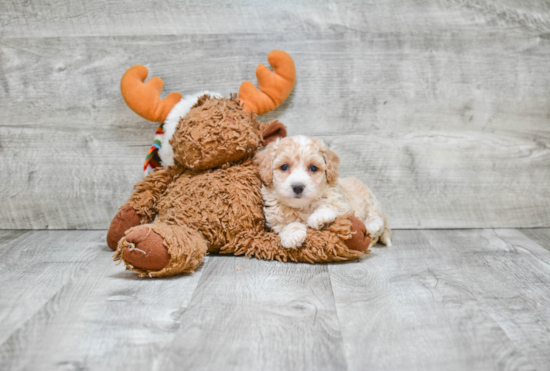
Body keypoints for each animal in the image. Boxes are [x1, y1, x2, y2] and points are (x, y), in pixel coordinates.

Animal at [254, 137, 392, 250]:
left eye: (313, 168)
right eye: (284, 167)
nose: (298, 187)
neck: (302, 206)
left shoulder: (342, 204)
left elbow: (328, 205)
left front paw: (319, 217)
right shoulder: (275, 220)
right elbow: (287, 225)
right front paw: (293, 235)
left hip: (370, 199)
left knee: (376, 218)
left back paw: (373, 226)